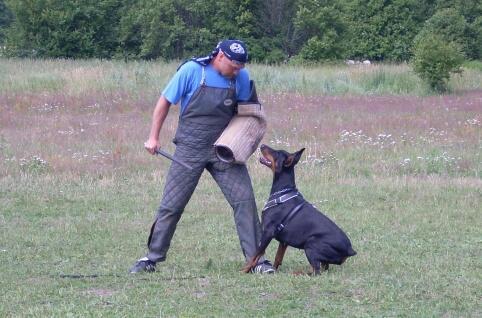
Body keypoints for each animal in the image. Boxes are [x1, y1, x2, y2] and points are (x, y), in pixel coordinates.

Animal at [243, 145, 356, 274]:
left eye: (277, 153)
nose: (262, 145)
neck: (283, 192)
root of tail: (349, 250)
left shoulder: (268, 232)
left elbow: (255, 255)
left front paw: (243, 271)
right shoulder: (284, 240)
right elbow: (278, 257)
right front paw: (274, 270)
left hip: (311, 243)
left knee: (316, 271)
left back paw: (297, 273)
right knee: (321, 268)